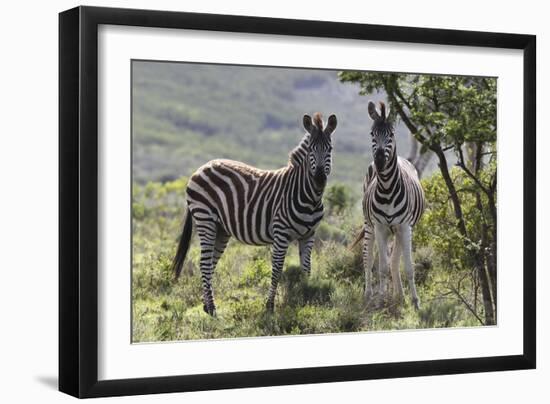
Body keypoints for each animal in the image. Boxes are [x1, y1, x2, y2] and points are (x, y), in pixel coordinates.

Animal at [172, 113, 338, 316]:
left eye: (329, 149)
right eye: (311, 150)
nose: (320, 179)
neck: (308, 195)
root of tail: (202, 167)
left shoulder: (309, 235)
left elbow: (306, 269)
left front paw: (306, 300)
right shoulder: (281, 233)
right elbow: (277, 269)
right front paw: (270, 306)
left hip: (221, 229)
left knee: (210, 264)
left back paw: (206, 305)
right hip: (205, 219)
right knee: (204, 263)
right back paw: (212, 309)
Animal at [362, 102, 426, 310]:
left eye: (391, 134)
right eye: (372, 134)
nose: (380, 161)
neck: (388, 188)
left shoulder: (405, 227)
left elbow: (408, 266)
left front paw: (415, 302)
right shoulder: (380, 227)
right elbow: (381, 267)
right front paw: (381, 300)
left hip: (399, 230)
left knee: (395, 260)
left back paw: (401, 296)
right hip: (369, 225)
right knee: (368, 258)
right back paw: (368, 295)